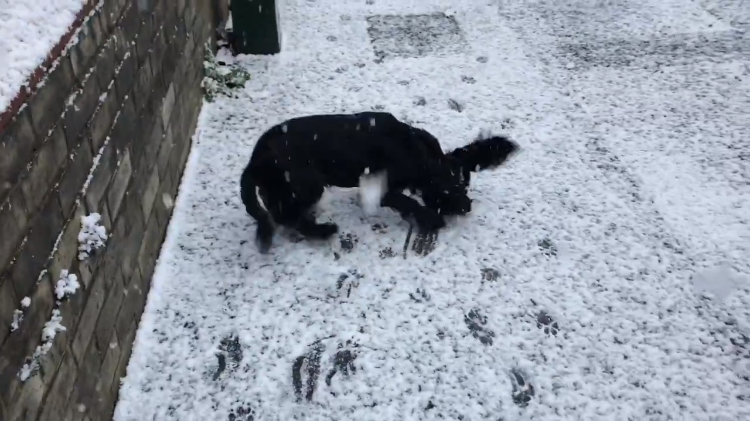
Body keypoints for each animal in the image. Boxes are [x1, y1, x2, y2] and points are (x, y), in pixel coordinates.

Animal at [239, 110, 516, 253]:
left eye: (464, 185)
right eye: (451, 189)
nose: (467, 207)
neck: (416, 150)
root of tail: (254, 161)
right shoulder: (389, 190)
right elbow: (407, 202)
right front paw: (431, 219)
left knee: (279, 213)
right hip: (307, 183)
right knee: (289, 216)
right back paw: (323, 230)